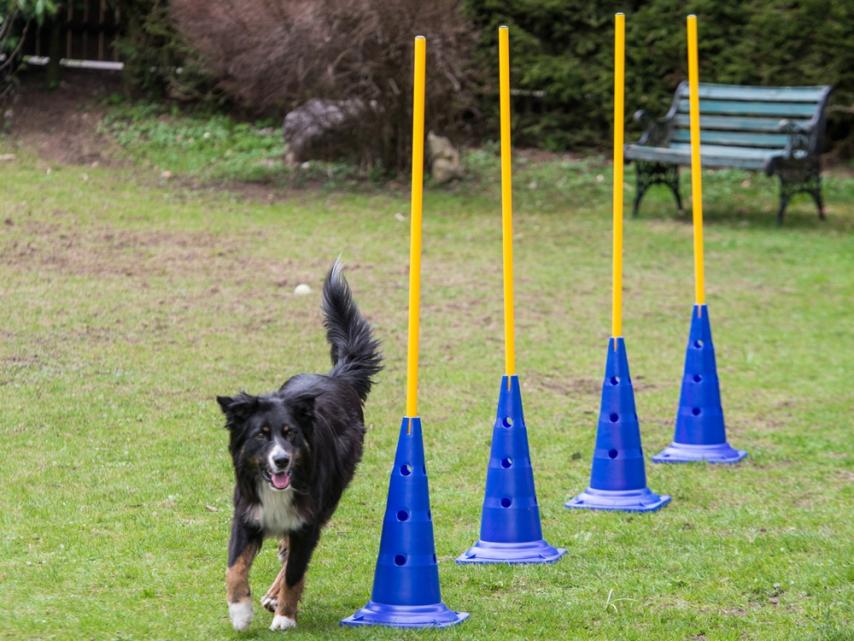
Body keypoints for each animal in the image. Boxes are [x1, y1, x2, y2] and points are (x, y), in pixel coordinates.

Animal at [217, 260, 382, 632]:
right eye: (261, 434)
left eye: (290, 434)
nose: (281, 461)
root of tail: (336, 377)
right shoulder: (246, 514)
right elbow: (235, 567)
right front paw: (240, 610)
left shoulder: (307, 521)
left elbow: (295, 572)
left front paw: (285, 616)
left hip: (330, 497)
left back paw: (275, 597)